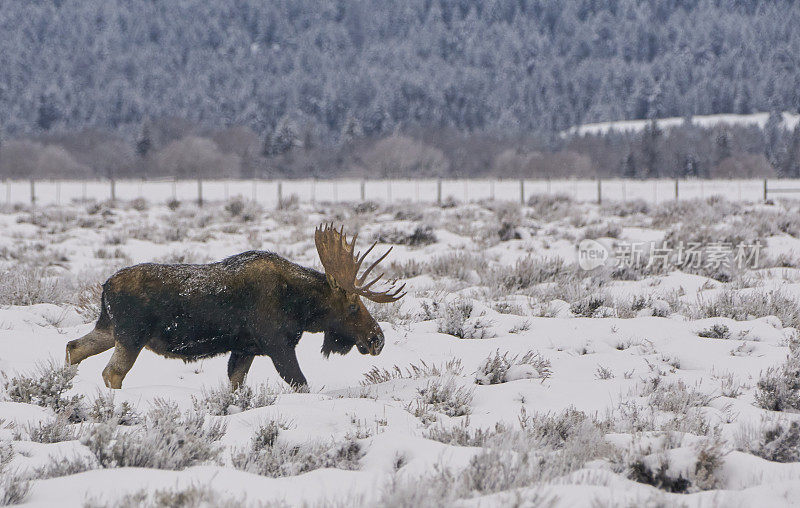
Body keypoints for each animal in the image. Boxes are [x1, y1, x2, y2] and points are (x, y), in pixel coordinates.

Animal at [66, 223, 406, 388]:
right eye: (352, 307)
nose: (377, 339)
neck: (300, 307)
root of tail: (105, 287)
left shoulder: (245, 348)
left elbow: (236, 384)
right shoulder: (276, 343)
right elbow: (300, 383)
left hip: (109, 328)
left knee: (74, 347)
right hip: (132, 334)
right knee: (112, 372)